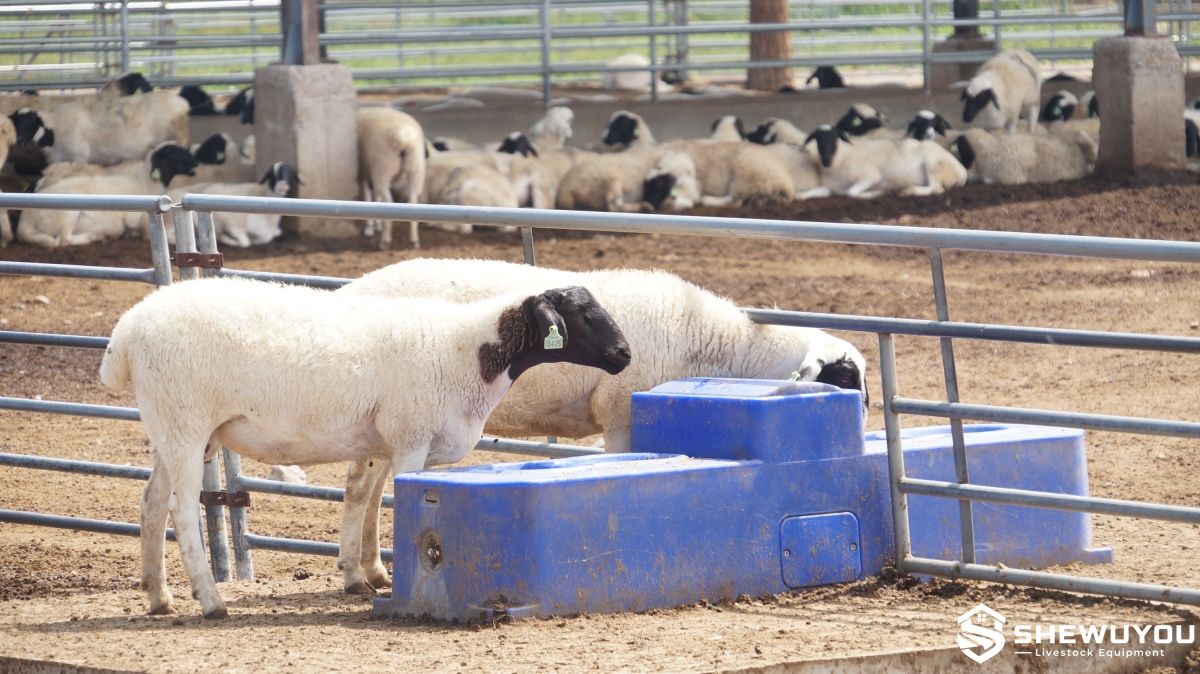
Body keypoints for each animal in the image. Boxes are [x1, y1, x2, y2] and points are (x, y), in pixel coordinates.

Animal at [18, 143, 197, 247]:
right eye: (172, 153)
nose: (195, 162)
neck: (146, 181)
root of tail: (25, 220)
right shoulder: (135, 218)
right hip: (68, 213)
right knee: (64, 240)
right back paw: (95, 237)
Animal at [100, 276, 631, 616]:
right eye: (584, 314)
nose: (624, 355)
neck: (468, 353)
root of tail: (126, 331)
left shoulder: (382, 439)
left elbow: (363, 497)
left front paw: (359, 576)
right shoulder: (412, 436)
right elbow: (397, 504)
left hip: (172, 428)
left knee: (151, 502)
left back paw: (158, 598)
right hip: (186, 423)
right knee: (182, 508)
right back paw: (211, 602)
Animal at [165, 162, 298, 248]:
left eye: (290, 174)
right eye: (272, 175)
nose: (283, 187)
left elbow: (274, 234)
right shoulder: (232, 224)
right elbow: (245, 242)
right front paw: (225, 239)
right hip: (171, 222)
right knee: (168, 237)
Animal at [357, 106, 426, 249]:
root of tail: (404, 136)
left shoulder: (365, 173)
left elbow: (367, 198)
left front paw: (370, 228)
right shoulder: (370, 174)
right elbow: (375, 199)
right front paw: (376, 225)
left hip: (383, 169)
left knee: (389, 202)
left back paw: (385, 241)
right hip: (416, 169)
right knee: (413, 201)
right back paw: (414, 241)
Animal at [801, 125, 967, 199]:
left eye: (834, 138)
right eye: (818, 140)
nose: (826, 160)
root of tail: (962, 170)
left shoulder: (871, 175)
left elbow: (852, 193)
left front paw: (875, 193)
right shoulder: (831, 188)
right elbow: (821, 191)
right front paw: (801, 196)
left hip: (932, 164)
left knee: (937, 188)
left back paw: (908, 190)